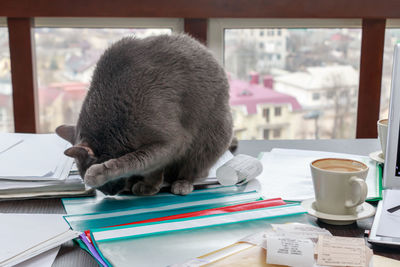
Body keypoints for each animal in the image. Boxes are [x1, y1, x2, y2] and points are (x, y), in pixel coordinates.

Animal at [54, 33, 233, 197]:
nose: (109, 193)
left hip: (209, 139)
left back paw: (182, 184)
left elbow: (133, 160)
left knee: (193, 168)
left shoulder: (173, 141)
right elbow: (150, 167)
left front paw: (99, 173)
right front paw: (149, 185)